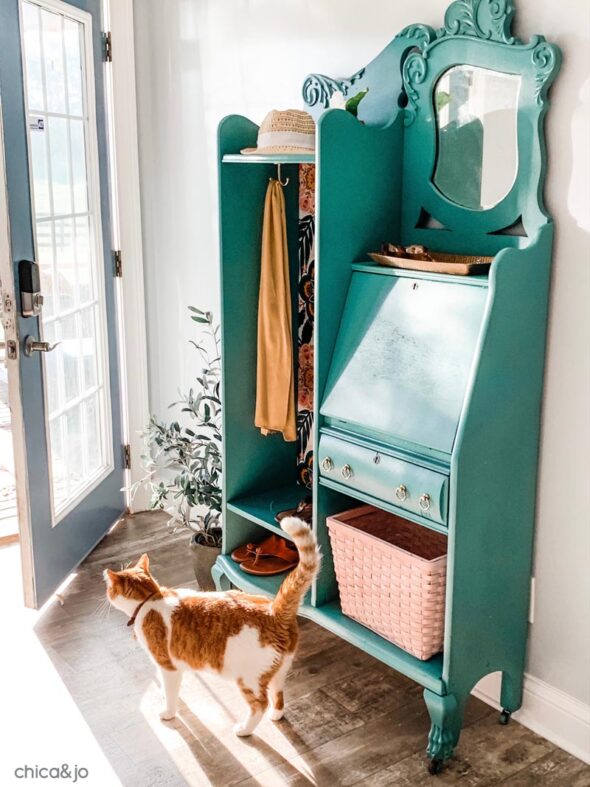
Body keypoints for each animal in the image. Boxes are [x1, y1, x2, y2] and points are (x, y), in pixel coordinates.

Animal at [104, 520, 322, 736]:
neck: (150, 599)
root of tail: (274, 611)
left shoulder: (168, 665)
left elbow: (171, 694)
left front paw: (168, 712)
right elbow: (166, 687)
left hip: (248, 679)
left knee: (260, 704)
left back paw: (244, 729)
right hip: (279, 671)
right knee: (278, 696)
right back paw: (276, 715)